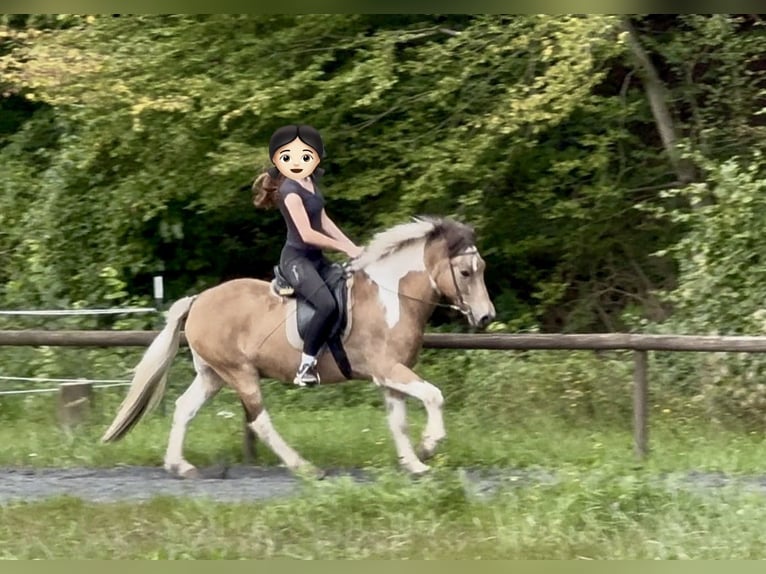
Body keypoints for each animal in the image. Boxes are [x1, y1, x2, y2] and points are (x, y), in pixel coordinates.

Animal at [101, 216, 495, 477]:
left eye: (482, 268)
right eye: (465, 273)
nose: (486, 317)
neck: (392, 297)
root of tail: (198, 300)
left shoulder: (389, 377)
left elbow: (397, 422)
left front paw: (414, 463)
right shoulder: (388, 369)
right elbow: (434, 395)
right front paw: (430, 445)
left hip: (213, 375)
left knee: (185, 408)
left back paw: (179, 465)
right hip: (240, 373)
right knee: (260, 421)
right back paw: (303, 466)